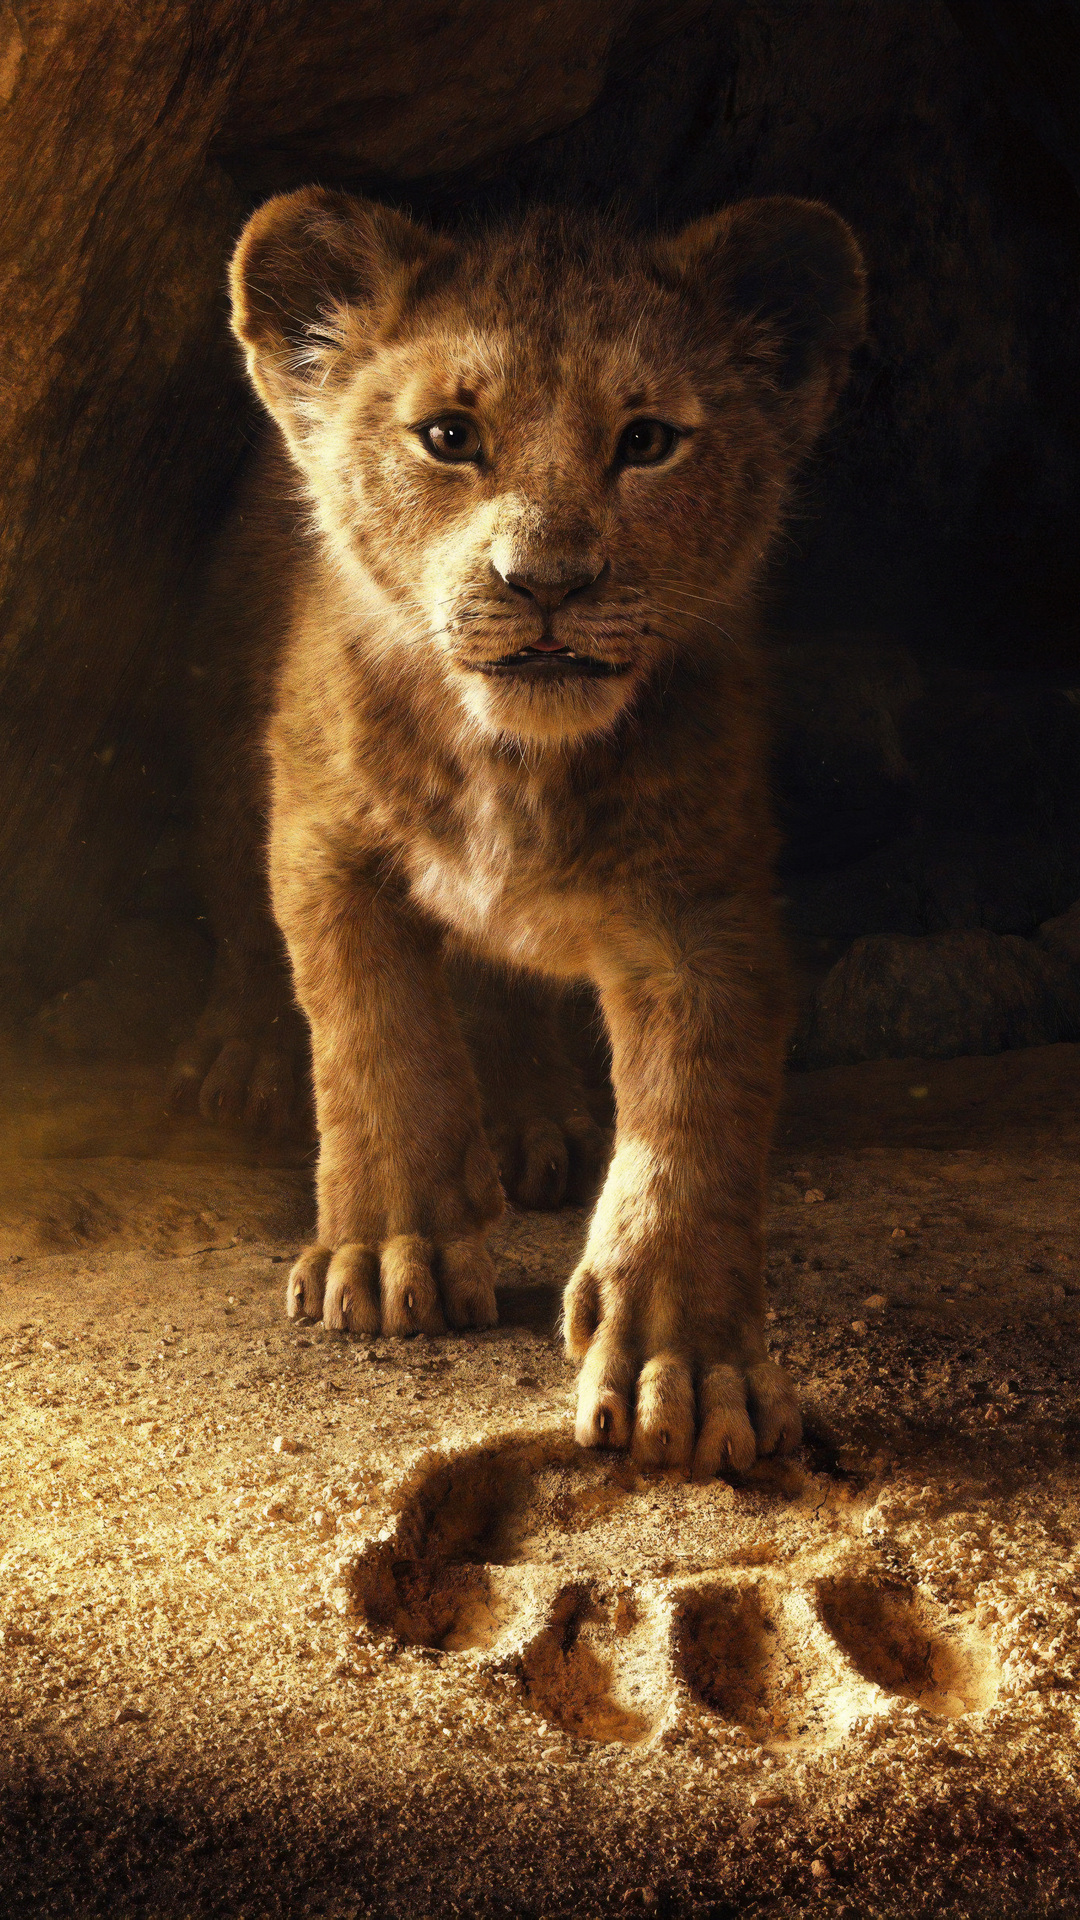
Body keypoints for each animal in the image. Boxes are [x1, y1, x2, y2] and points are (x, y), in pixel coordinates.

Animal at [171, 188, 865, 1476]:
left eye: (647, 441)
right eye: (449, 435)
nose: (546, 581)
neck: (515, 760)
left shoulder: (704, 908)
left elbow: (693, 1126)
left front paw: (683, 1367)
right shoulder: (326, 839)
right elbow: (376, 1040)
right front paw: (389, 1253)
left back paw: (539, 1118)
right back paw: (239, 1059)